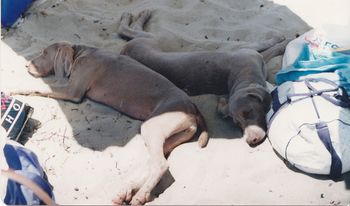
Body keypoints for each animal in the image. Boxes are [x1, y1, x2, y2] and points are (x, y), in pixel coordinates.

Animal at [11, 41, 208, 204]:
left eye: (44, 53)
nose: (27, 65)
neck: (80, 54)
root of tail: (193, 107)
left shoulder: (72, 92)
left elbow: (41, 88)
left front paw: (17, 89)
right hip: (170, 134)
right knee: (152, 162)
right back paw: (126, 192)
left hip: (153, 126)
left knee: (160, 164)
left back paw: (140, 196)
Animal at [117, 10, 290, 146]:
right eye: (238, 123)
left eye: (248, 113)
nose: (250, 141)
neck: (241, 77)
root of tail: (124, 52)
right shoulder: (248, 50)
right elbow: (267, 46)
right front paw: (283, 40)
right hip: (154, 38)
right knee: (128, 30)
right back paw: (138, 15)